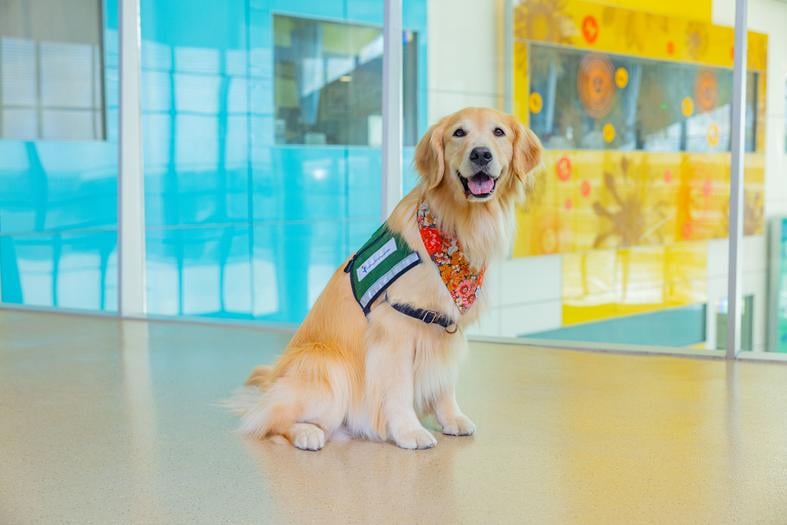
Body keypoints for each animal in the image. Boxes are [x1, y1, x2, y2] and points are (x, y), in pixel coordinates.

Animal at [229, 107, 540, 450]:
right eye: (459, 133)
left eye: (499, 132)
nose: (481, 154)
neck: (454, 229)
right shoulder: (395, 328)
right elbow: (399, 390)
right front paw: (409, 431)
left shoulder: (446, 328)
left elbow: (444, 383)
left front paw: (451, 419)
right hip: (329, 368)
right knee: (265, 419)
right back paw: (306, 432)